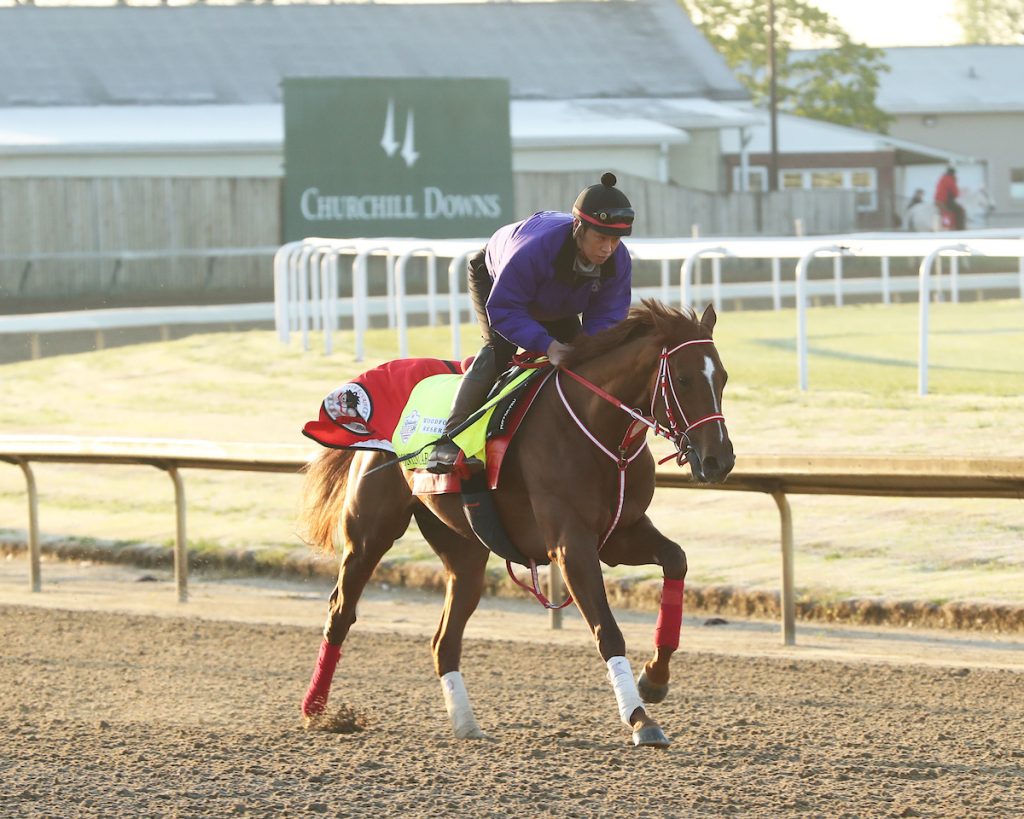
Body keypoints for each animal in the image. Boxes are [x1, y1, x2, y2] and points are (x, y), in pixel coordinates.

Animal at [296, 296, 737, 745]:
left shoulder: (620, 534)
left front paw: (655, 678)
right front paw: (640, 719)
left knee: (444, 641)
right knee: (340, 612)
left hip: (464, 551)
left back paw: (466, 724)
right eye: (683, 379)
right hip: (369, 534)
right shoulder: (570, 545)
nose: (719, 460)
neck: (598, 431)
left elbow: (676, 560)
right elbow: (608, 630)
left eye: (722, 377)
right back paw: (317, 711)